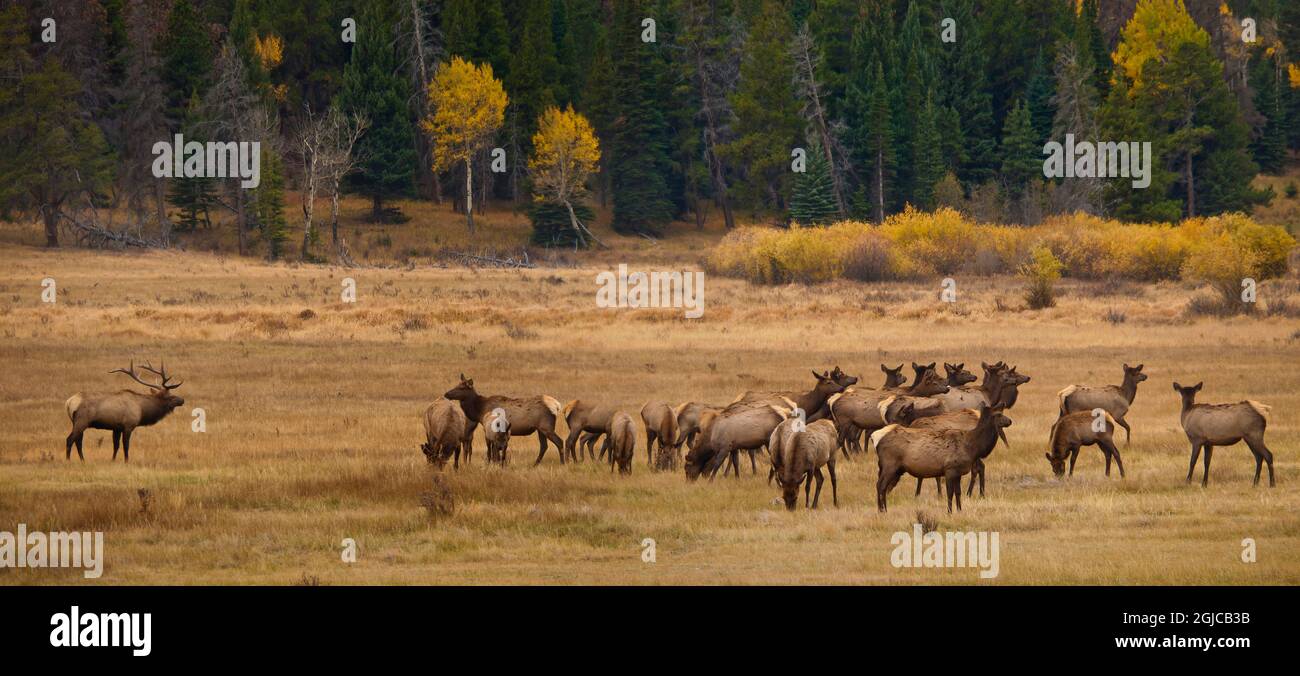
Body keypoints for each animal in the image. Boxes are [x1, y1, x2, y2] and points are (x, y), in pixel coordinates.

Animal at [872, 403, 1012, 513]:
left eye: (1003, 412)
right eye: (998, 414)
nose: (1010, 421)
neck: (973, 447)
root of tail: (876, 439)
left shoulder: (958, 472)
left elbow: (958, 492)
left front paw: (959, 510)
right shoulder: (949, 469)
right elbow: (949, 493)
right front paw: (949, 512)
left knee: (881, 485)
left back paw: (882, 509)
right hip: (890, 465)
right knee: (881, 485)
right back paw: (882, 510)